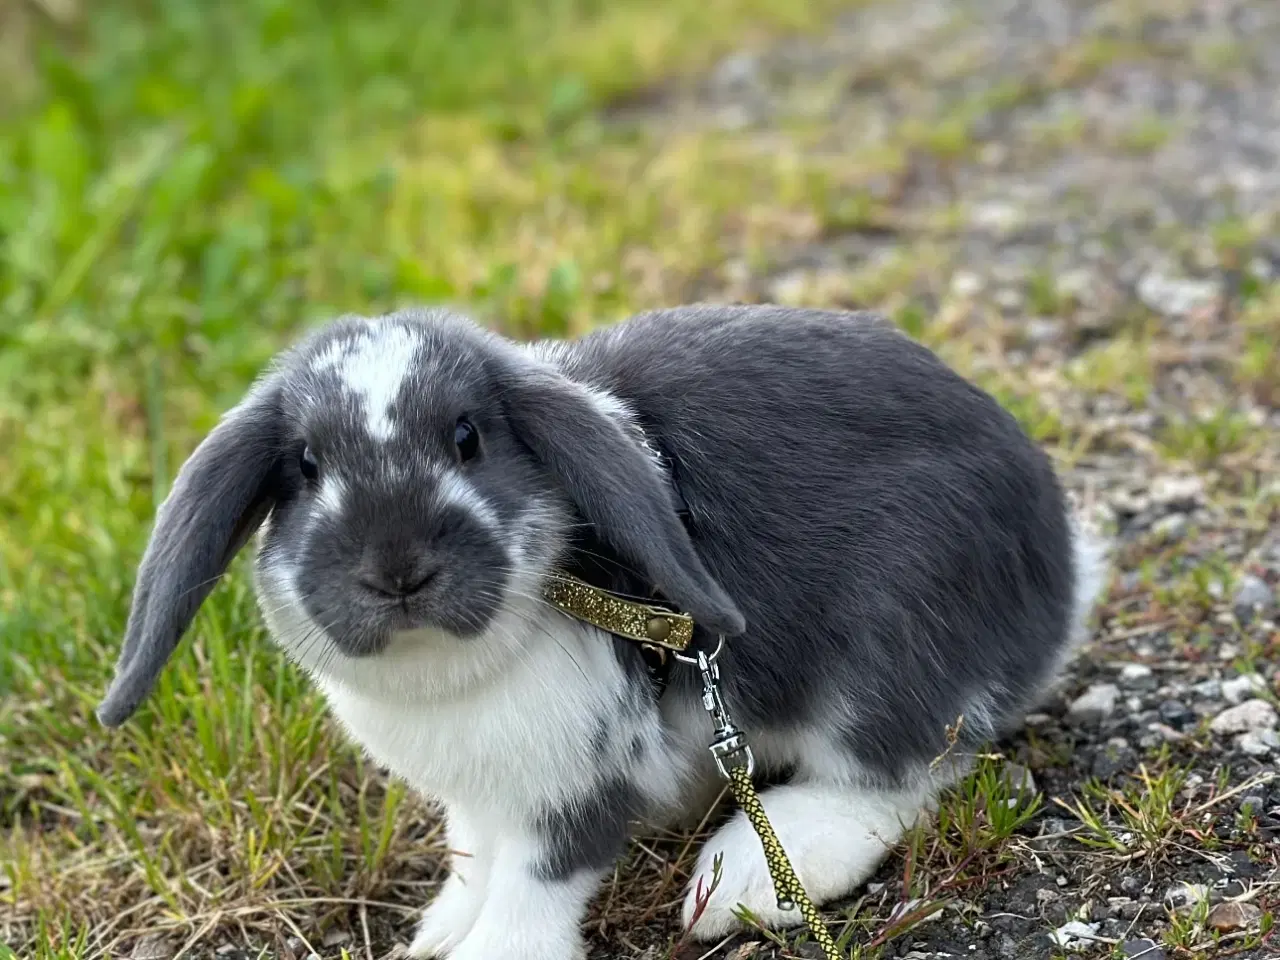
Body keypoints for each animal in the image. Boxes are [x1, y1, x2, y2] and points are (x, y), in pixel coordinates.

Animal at [97, 305, 1111, 960]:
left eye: (467, 438)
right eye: (305, 464)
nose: (397, 570)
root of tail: (1062, 570)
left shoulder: (573, 791)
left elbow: (532, 891)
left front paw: (485, 953)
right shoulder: (479, 801)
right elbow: (471, 860)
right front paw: (438, 934)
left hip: (885, 658)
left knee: (901, 776)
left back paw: (743, 880)